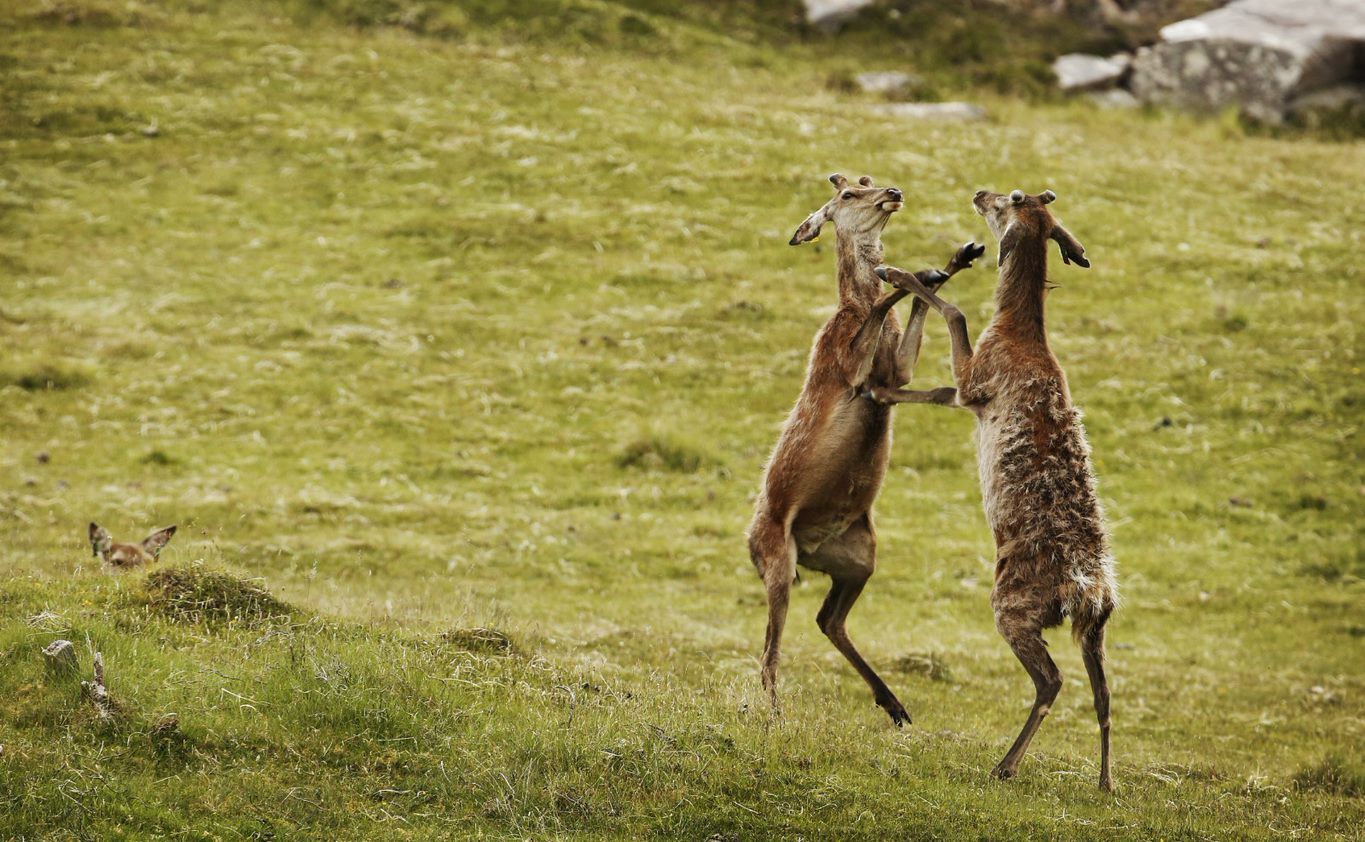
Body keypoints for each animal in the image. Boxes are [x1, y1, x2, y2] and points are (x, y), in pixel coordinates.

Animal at [748, 170, 982, 720]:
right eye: (848, 193)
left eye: (869, 179)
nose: (893, 192)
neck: (846, 309)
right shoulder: (844, 362)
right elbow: (879, 312)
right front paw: (908, 271)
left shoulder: (898, 368)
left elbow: (903, 351)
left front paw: (953, 260)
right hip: (777, 558)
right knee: (770, 649)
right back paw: (776, 715)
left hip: (859, 555)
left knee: (828, 619)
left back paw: (894, 704)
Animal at [873, 188, 1119, 786]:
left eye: (1012, 199)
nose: (980, 193)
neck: (1020, 334)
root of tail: (1088, 591)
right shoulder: (971, 395)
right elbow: (937, 391)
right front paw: (878, 390)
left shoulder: (979, 379)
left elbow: (956, 318)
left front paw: (894, 271)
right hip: (1097, 629)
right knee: (1105, 695)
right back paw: (1106, 782)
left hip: (1014, 605)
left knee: (1052, 679)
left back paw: (1005, 766)